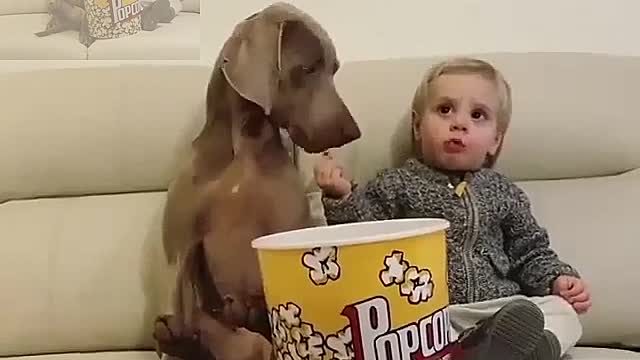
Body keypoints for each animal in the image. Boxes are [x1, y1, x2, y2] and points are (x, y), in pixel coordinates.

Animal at [151, 2, 360, 360]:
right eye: (307, 68)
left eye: (334, 69)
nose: (352, 131)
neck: (245, 143)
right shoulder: (180, 246)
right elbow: (185, 298)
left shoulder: (285, 228)